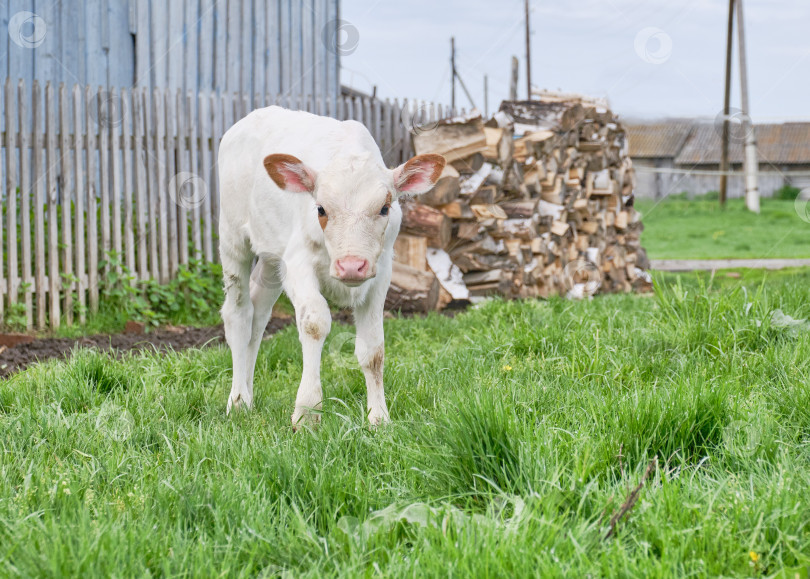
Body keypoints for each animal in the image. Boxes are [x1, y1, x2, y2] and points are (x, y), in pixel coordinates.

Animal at [216, 106, 442, 428]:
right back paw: (237, 401)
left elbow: (373, 348)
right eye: (321, 209)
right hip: (232, 237)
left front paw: (379, 418)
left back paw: (247, 396)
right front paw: (307, 412)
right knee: (239, 314)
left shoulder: (382, 271)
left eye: (385, 208)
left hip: (273, 256)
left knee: (258, 313)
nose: (351, 266)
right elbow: (314, 324)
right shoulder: (297, 262)